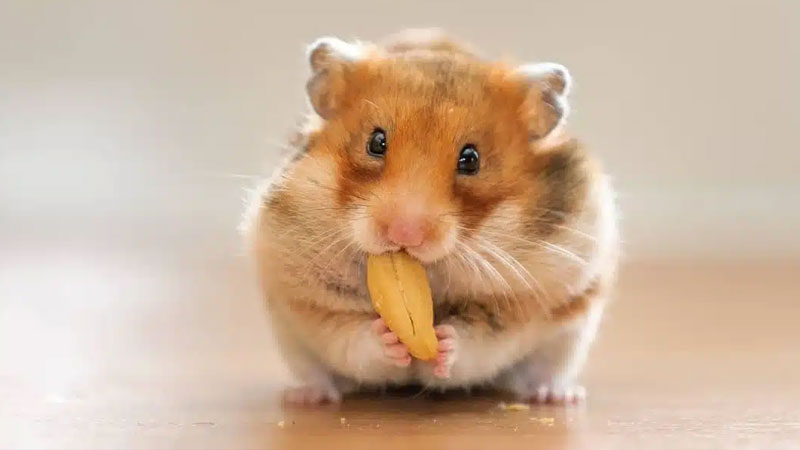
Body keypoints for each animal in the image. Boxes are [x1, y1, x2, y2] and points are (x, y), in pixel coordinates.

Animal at [242, 29, 619, 405]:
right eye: (376, 142)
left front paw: (444, 343)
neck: (431, 273)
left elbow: (478, 340)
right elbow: (352, 336)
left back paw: (557, 396)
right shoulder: (308, 299)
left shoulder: (521, 303)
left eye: (471, 159)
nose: (404, 234)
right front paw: (387, 337)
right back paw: (306, 397)